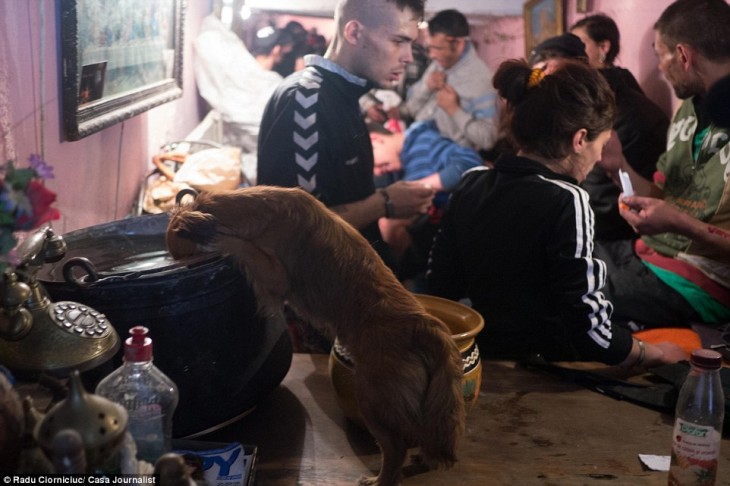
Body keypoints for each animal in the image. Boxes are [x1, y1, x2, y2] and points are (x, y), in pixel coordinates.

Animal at [166, 186, 464, 486]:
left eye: (183, 257)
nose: (179, 273)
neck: (257, 209)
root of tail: (424, 325)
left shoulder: (275, 276)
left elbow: (240, 245)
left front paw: (222, 240)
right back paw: (423, 458)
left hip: (373, 399)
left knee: (395, 449)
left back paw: (380, 480)